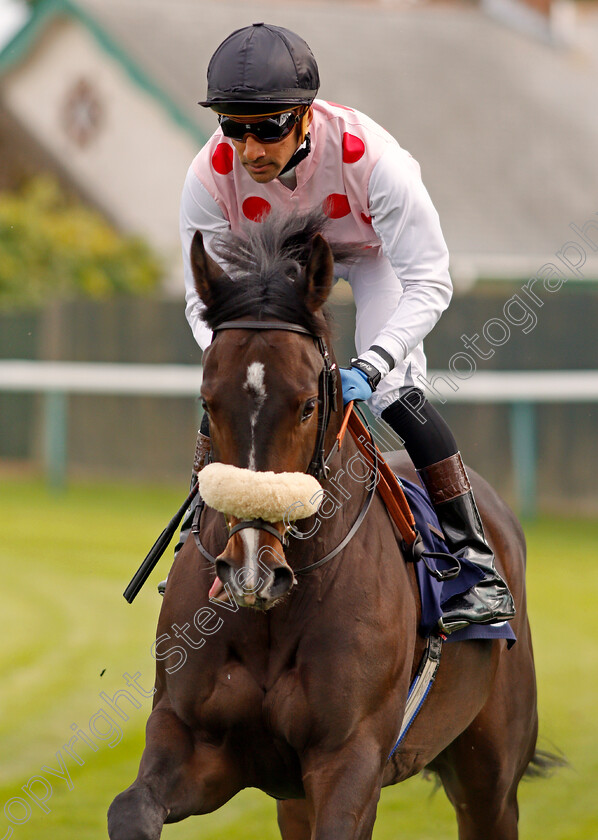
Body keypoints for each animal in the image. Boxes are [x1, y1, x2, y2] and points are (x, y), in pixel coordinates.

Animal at [109, 210, 544, 840]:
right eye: (208, 403)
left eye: (308, 406)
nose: (251, 570)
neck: (272, 615)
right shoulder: (192, 737)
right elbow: (131, 808)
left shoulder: (351, 756)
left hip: (490, 771)